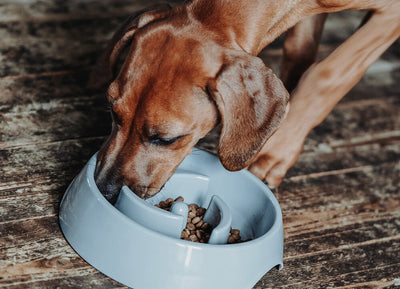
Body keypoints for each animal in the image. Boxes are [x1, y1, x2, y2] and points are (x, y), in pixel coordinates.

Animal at [90, 0, 400, 202]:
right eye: (113, 113)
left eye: (166, 139)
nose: (104, 190)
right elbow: (298, 53)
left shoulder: (391, 13)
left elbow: (327, 72)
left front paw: (275, 151)